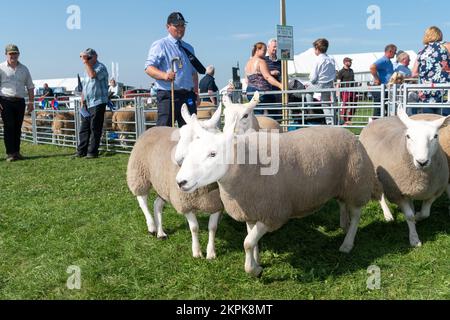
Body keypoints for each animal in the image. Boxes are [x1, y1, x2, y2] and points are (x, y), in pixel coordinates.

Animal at [125, 105, 224, 260]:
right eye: (181, 134)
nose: (178, 160)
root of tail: (153, 128)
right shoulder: (184, 202)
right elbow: (194, 228)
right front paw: (196, 252)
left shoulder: (217, 203)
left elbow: (212, 228)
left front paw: (211, 253)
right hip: (139, 173)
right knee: (142, 200)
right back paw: (151, 226)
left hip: (163, 185)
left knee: (157, 204)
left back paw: (161, 233)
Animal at [178, 115, 374, 278]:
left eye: (212, 154)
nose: (180, 181)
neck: (244, 166)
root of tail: (348, 132)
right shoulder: (250, 210)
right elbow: (252, 240)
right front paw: (256, 261)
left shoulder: (273, 213)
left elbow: (247, 243)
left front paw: (254, 270)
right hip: (342, 185)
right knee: (342, 204)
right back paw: (344, 225)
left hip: (357, 183)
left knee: (356, 215)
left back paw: (347, 243)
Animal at [358, 107, 450, 248]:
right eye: (408, 136)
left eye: (435, 136)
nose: (422, 162)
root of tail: (378, 119)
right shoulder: (396, 193)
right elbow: (409, 216)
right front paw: (414, 239)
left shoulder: (434, 192)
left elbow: (425, 214)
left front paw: (418, 216)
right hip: (375, 175)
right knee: (380, 195)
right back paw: (388, 215)